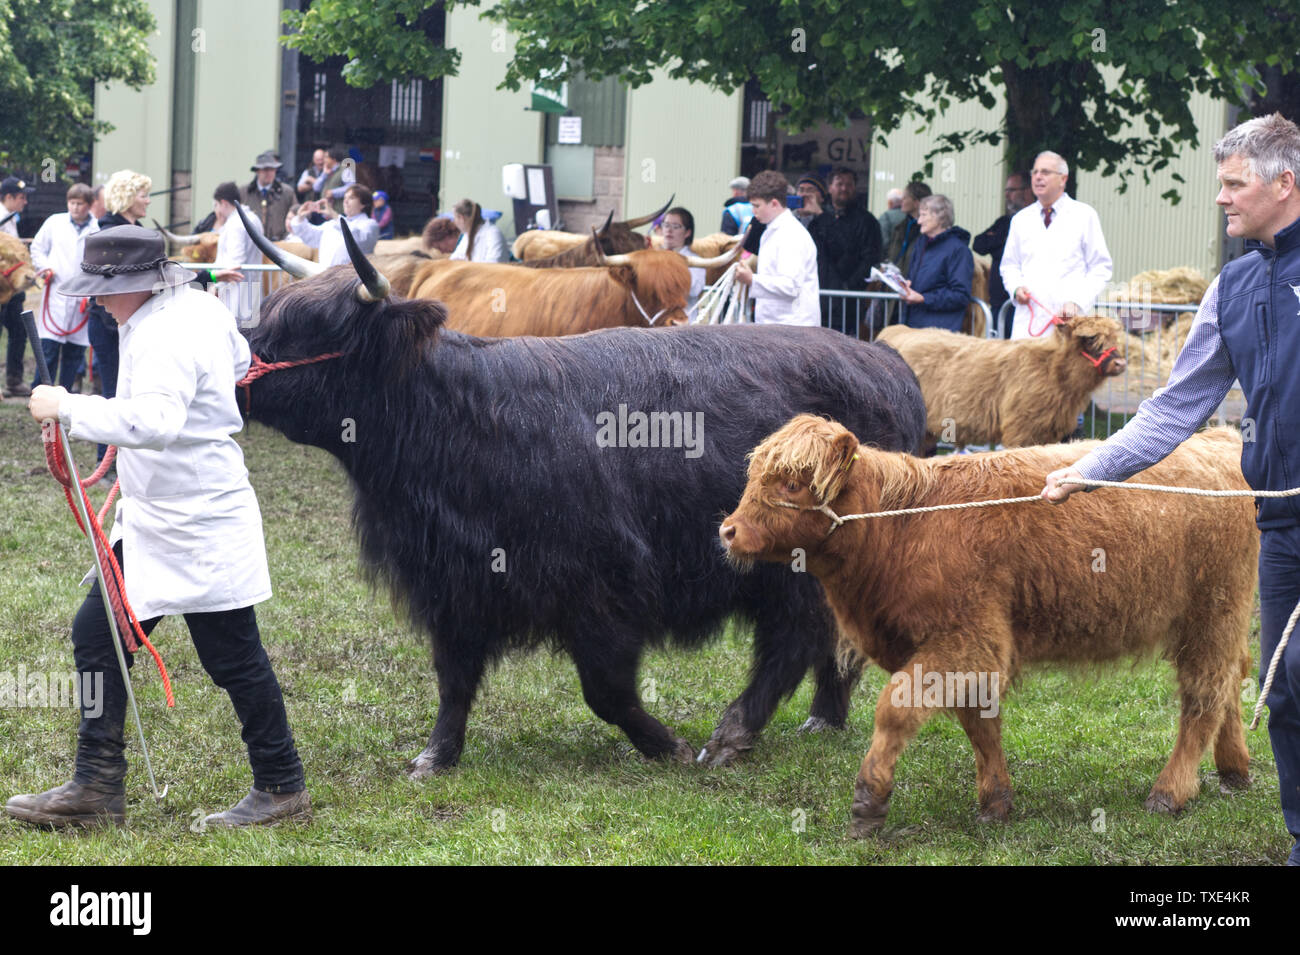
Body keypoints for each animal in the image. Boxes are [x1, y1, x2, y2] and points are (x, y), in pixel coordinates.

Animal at [244, 226, 930, 779]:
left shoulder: (602, 583)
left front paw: (665, 746)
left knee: (794, 639)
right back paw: (823, 718)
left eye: (314, 328)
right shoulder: (453, 584)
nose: (236, 367)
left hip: (796, 564)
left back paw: (734, 734)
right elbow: (453, 679)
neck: (460, 418)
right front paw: (435, 756)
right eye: (269, 313)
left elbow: (604, 688)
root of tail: (882, 357)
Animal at [722, 418, 1258, 836]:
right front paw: (996, 801)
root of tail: (1219, 440)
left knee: (1205, 696)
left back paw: (1170, 792)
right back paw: (1234, 769)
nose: (728, 530)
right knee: (1232, 681)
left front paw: (869, 799)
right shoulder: (965, 655)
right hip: (1219, 621)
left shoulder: (968, 641)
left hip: (1213, 612)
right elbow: (979, 723)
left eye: (792, 484)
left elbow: (894, 709)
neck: (902, 526)